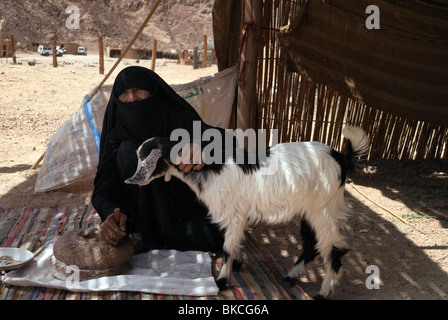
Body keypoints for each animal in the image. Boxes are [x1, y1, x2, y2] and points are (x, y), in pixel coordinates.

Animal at [125, 126, 368, 298]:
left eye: (143, 157)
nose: (133, 180)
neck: (211, 169)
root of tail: (341, 157)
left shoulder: (235, 214)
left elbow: (227, 246)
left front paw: (222, 281)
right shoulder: (236, 216)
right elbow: (234, 243)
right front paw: (237, 264)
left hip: (323, 208)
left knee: (333, 248)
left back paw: (323, 293)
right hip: (310, 209)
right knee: (312, 243)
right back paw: (291, 277)